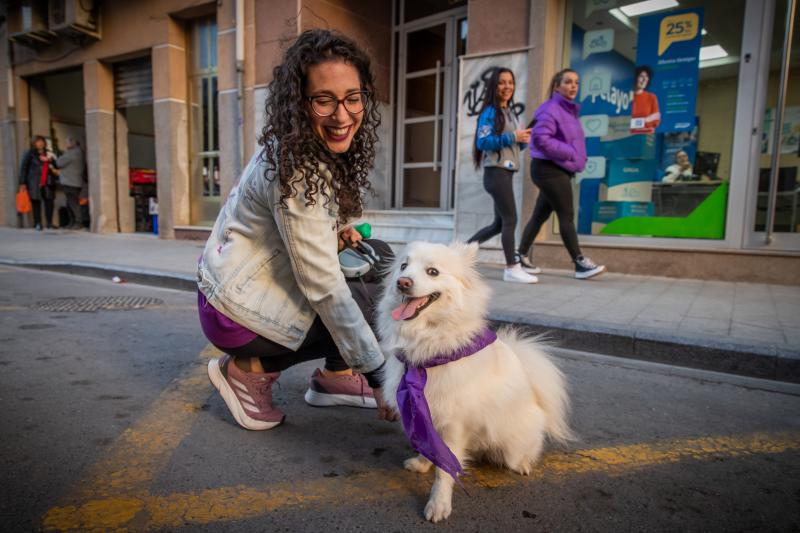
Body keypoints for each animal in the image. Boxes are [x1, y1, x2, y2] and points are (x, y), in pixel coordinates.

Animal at [376, 243, 572, 520]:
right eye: (403, 266)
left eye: (433, 271)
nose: (402, 282)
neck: (430, 344)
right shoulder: (430, 416)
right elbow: (432, 449)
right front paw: (422, 464)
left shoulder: (453, 423)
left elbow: (444, 471)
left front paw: (439, 504)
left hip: (513, 442)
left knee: (527, 450)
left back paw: (523, 464)